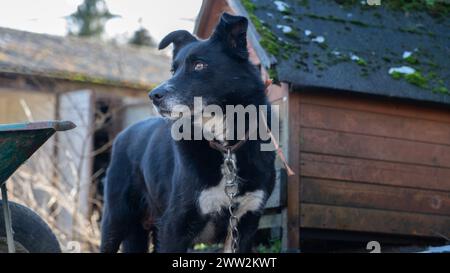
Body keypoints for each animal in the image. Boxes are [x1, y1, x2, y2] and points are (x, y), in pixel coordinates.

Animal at [100, 12, 276, 251]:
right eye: (173, 70)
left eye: (199, 65)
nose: (153, 95)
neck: (225, 146)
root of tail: (124, 133)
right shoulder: (174, 226)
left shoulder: (244, 224)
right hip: (115, 219)